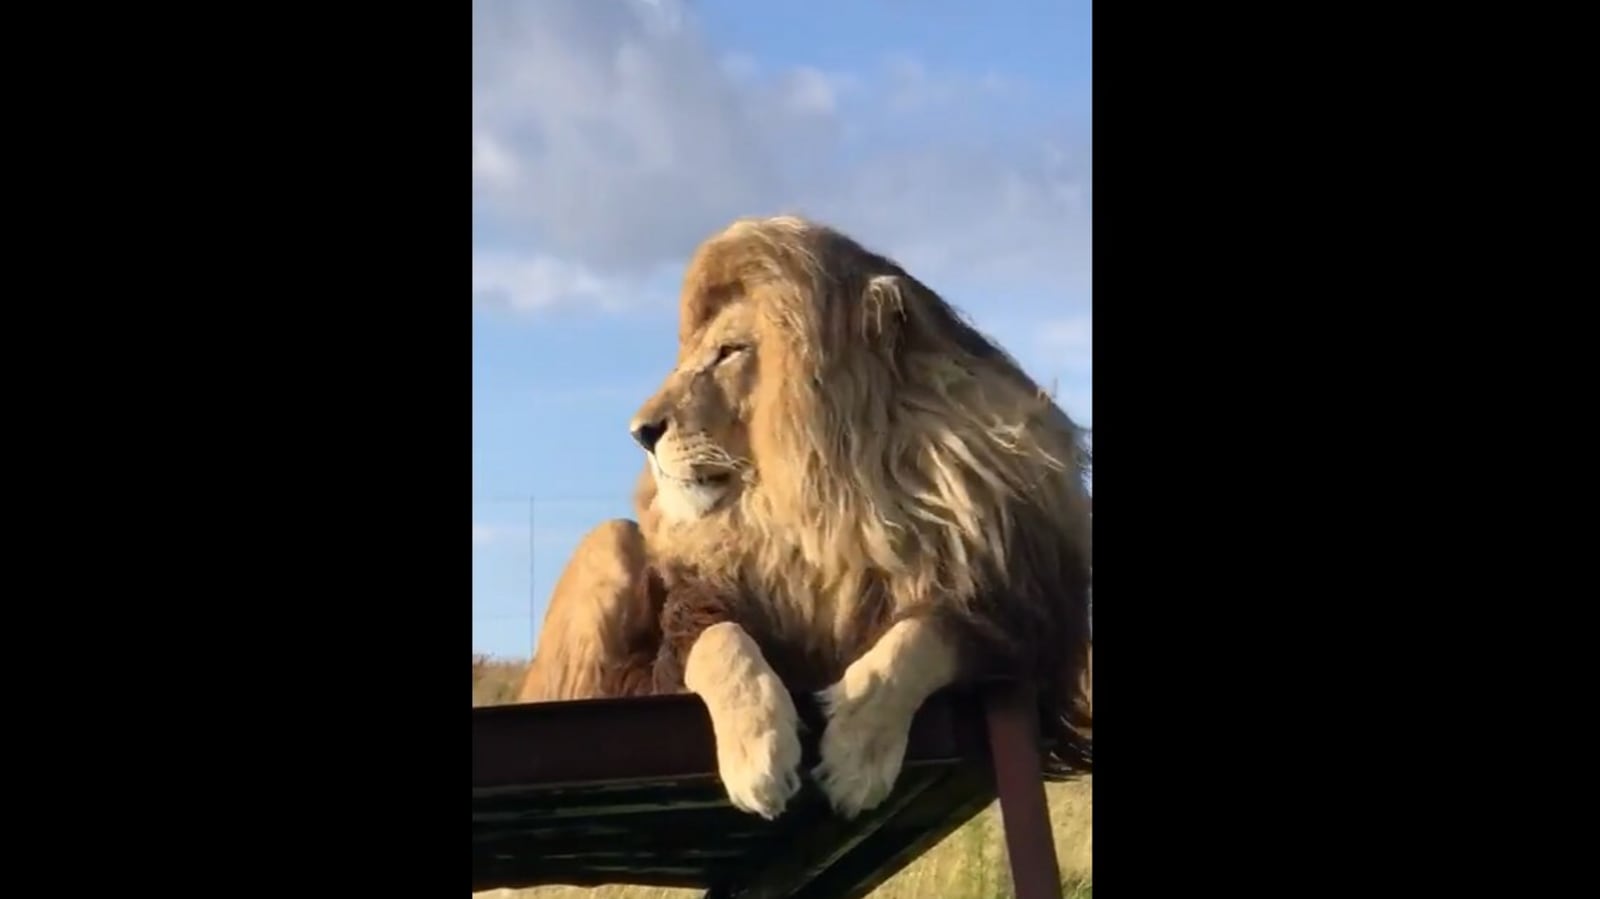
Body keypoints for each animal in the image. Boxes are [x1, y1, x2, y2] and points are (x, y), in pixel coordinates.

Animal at [518, 215, 1094, 819]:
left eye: (729, 351)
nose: (640, 431)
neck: (826, 508)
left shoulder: (1015, 617)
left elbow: (921, 639)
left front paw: (857, 751)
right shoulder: (689, 624)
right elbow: (722, 643)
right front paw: (758, 753)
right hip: (611, 543)